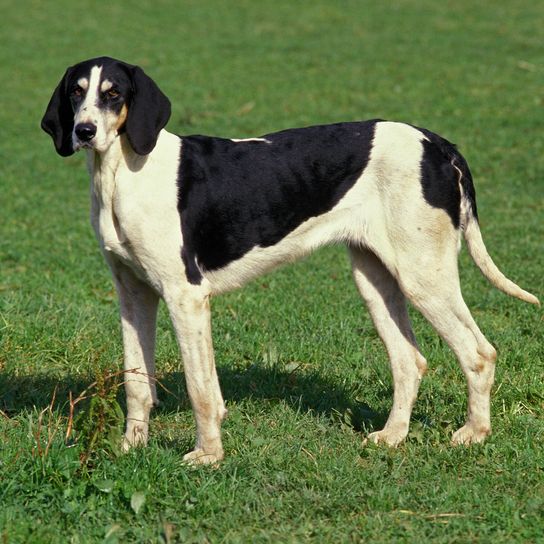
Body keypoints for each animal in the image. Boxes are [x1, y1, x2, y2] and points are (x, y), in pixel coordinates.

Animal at [40, 56, 536, 464]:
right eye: (76, 92)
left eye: (114, 94)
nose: (84, 132)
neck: (123, 173)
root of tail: (437, 143)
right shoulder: (134, 295)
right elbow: (137, 382)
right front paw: (131, 447)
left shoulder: (187, 297)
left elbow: (202, 389)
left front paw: (208, 456)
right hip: (375, 279)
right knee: (409, 361)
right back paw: (393, 436)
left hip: (423, 277)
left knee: (479, 354)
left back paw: (473, 434)